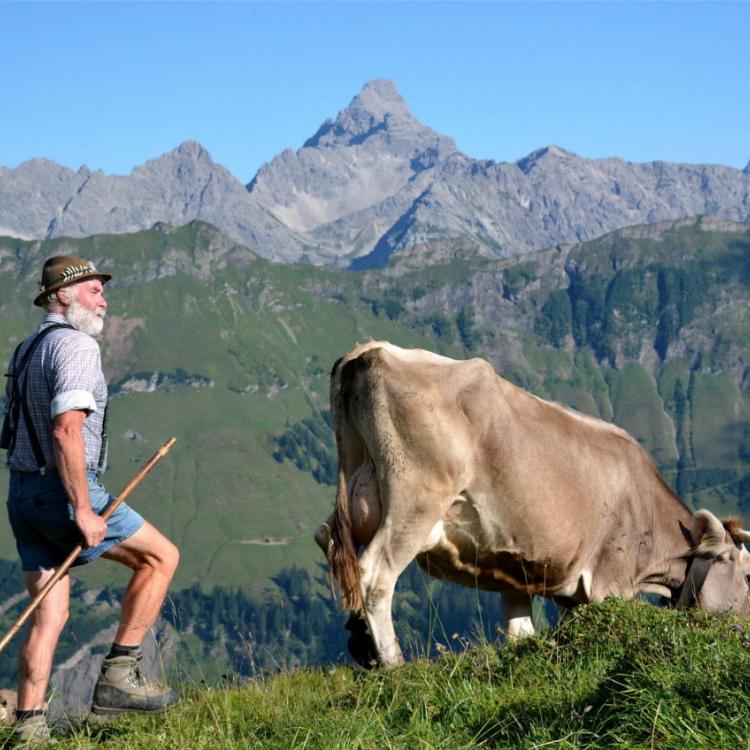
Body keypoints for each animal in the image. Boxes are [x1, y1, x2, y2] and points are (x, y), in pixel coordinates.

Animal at [316, 342, 750, 668]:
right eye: (748, 576)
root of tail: (367, 352)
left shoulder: (519, 575)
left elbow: (520, 632)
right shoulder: (611, 581)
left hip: (357, 488)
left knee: (330, 543)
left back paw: (360, 641)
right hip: (415, 501)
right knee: (374, 574)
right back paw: (392, 662)